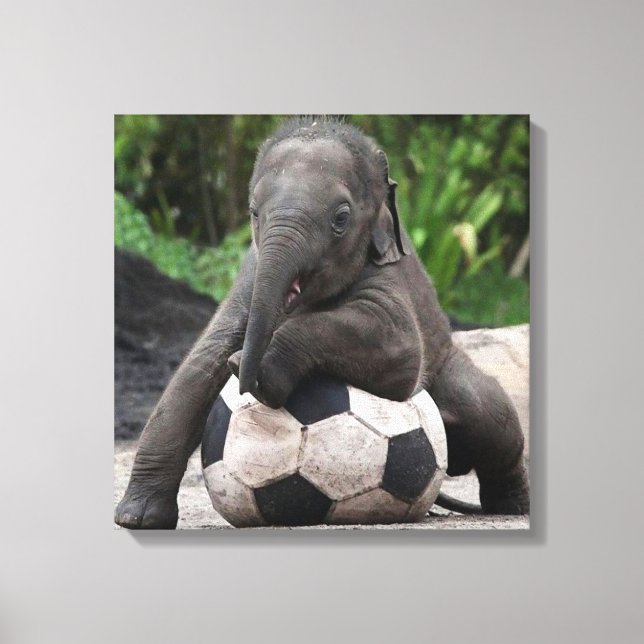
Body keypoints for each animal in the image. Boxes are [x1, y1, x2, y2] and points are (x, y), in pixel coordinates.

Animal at [115, 117, 530, 529]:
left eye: (341, 218)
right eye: (254, 212)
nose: (245, 375)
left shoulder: (388, 273)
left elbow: (401, 351)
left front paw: (256, 370)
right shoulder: (250, 275)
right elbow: (201, 364)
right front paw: (137, 518)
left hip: (451, 368)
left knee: (488, 414)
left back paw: (511, 505)